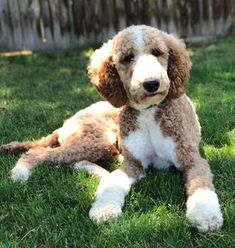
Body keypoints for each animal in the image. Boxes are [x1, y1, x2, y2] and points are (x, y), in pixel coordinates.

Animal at [87, 24, 223, 232]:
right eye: (127, 58)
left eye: (157, 52)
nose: (151, 83)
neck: (149, 112)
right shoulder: (133, 164)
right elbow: (114, 181)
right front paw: (104, 210)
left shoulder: (192, 160)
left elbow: (201, 185)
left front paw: (205, 214)